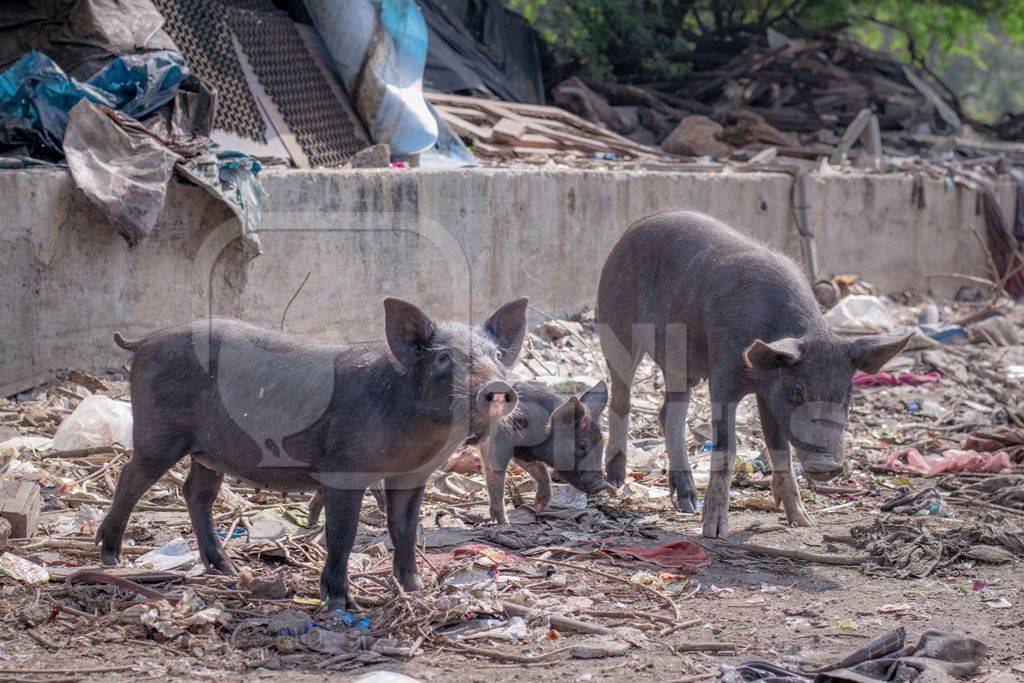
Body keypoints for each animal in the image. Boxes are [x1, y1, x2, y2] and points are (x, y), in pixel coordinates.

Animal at [97, 299, 528, 610]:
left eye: (497, 355)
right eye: (443, 357)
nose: (497, 387)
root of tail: (143, 342)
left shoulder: (412, 475)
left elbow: (405, 530)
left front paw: (416, 592)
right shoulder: (343, 470)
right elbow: (343, 534)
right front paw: (340, 604)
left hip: (208, 453)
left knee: (196, 492)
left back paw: (226, 569)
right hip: (158, 435)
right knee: (131, 479)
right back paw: (111, 557)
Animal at [477, 378, 606, 524]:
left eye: (602, 445)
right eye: (581, 445)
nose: (602, 485)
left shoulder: (522, 452)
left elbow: (540, 470)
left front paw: (538, 508)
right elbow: (497, 479)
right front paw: (505, 524)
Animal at [598, 214, 909, 540]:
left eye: (846, 395)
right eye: (797, 391)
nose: (826, 465)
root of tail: (630, 231)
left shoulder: (767, 393)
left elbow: (780, 450)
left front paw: (803, 521)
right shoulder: (723, 378)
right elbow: (727, 451)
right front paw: (714, 532)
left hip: (679, 362)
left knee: (669, 412)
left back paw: (687, 502)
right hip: (615, 326)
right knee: (620, 399)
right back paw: (615, 483)